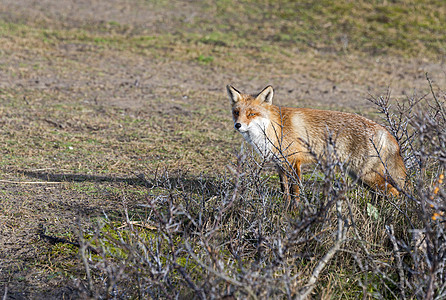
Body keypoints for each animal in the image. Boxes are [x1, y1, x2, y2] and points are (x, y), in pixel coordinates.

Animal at [228, 84, 406, 206]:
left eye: (251, 114)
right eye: (236, 112)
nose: (238, 125)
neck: (274, 129)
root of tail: (384, 129)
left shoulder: (294, 162)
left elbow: (295, 191)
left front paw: (294, 212)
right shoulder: (279, 165)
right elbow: (284, 191)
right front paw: (285, 210)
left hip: (366, 174)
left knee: (394, 192)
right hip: (360, 176)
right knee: (381, 193)